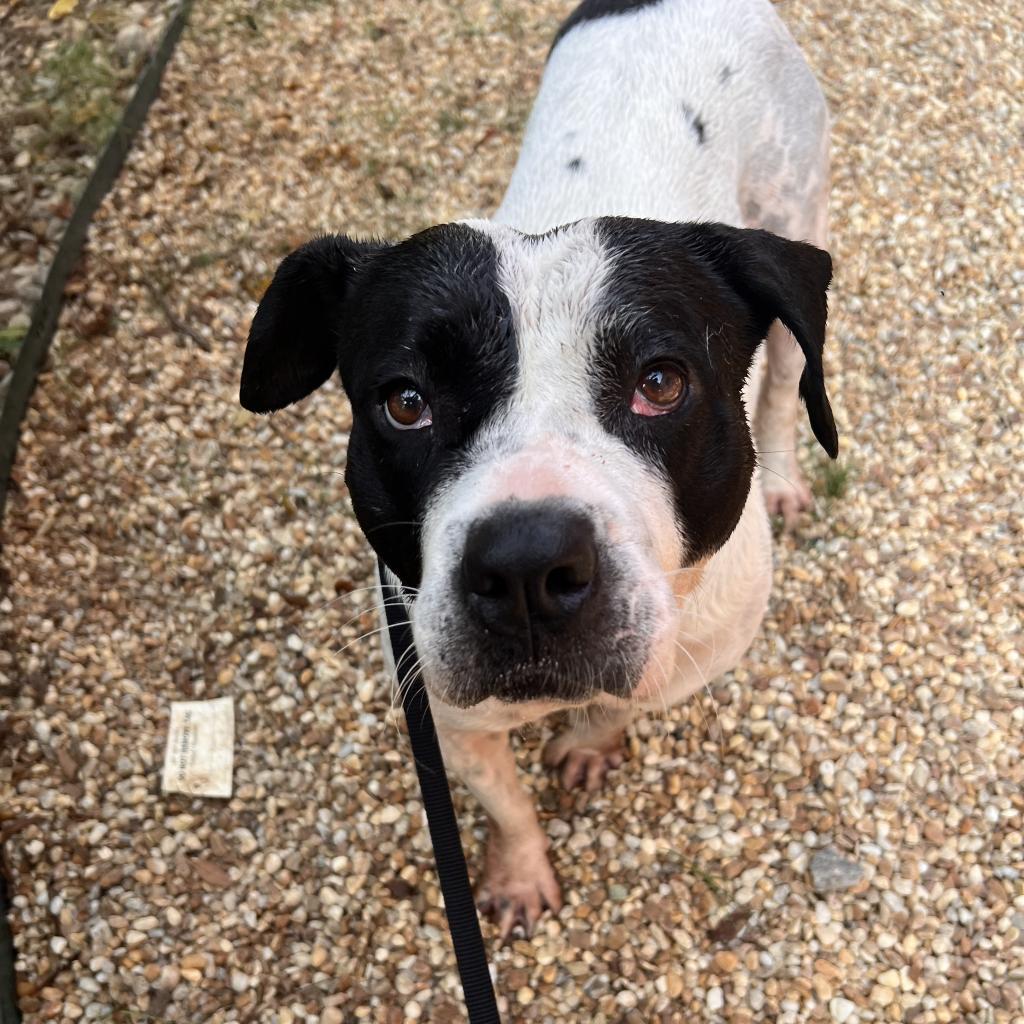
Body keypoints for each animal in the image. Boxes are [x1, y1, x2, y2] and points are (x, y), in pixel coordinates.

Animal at [241, 0, 839, 942]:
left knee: (786, 383)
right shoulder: (447, 714)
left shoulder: (684, 659)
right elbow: (505, 801)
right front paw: (521, 870)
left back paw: (781, 476)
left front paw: (590, 741)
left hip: (798, 217)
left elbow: (621, 700)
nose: (525, 567)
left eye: (660, 383)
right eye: (404, 402)